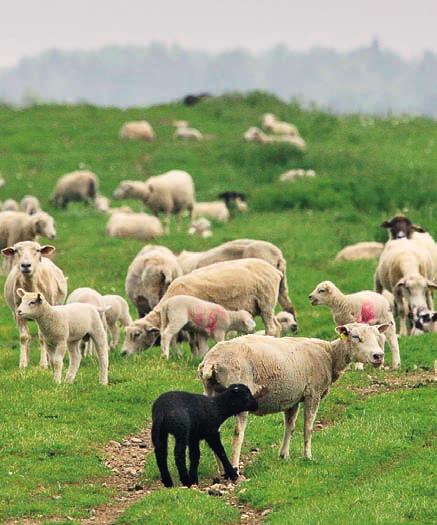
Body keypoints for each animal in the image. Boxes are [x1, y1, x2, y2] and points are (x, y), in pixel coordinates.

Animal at [199, 324, 386, 466]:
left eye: (378, 336)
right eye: (355, 337)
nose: (378, 356)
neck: (330, 355)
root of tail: (212, 361)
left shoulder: (292, 399)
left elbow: (290, 427)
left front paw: (284, 455)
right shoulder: (313, 393)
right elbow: (308, 427)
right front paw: (308, 456)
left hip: (211, 393)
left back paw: (222, 469)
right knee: (238, 434)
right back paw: (235, 468)